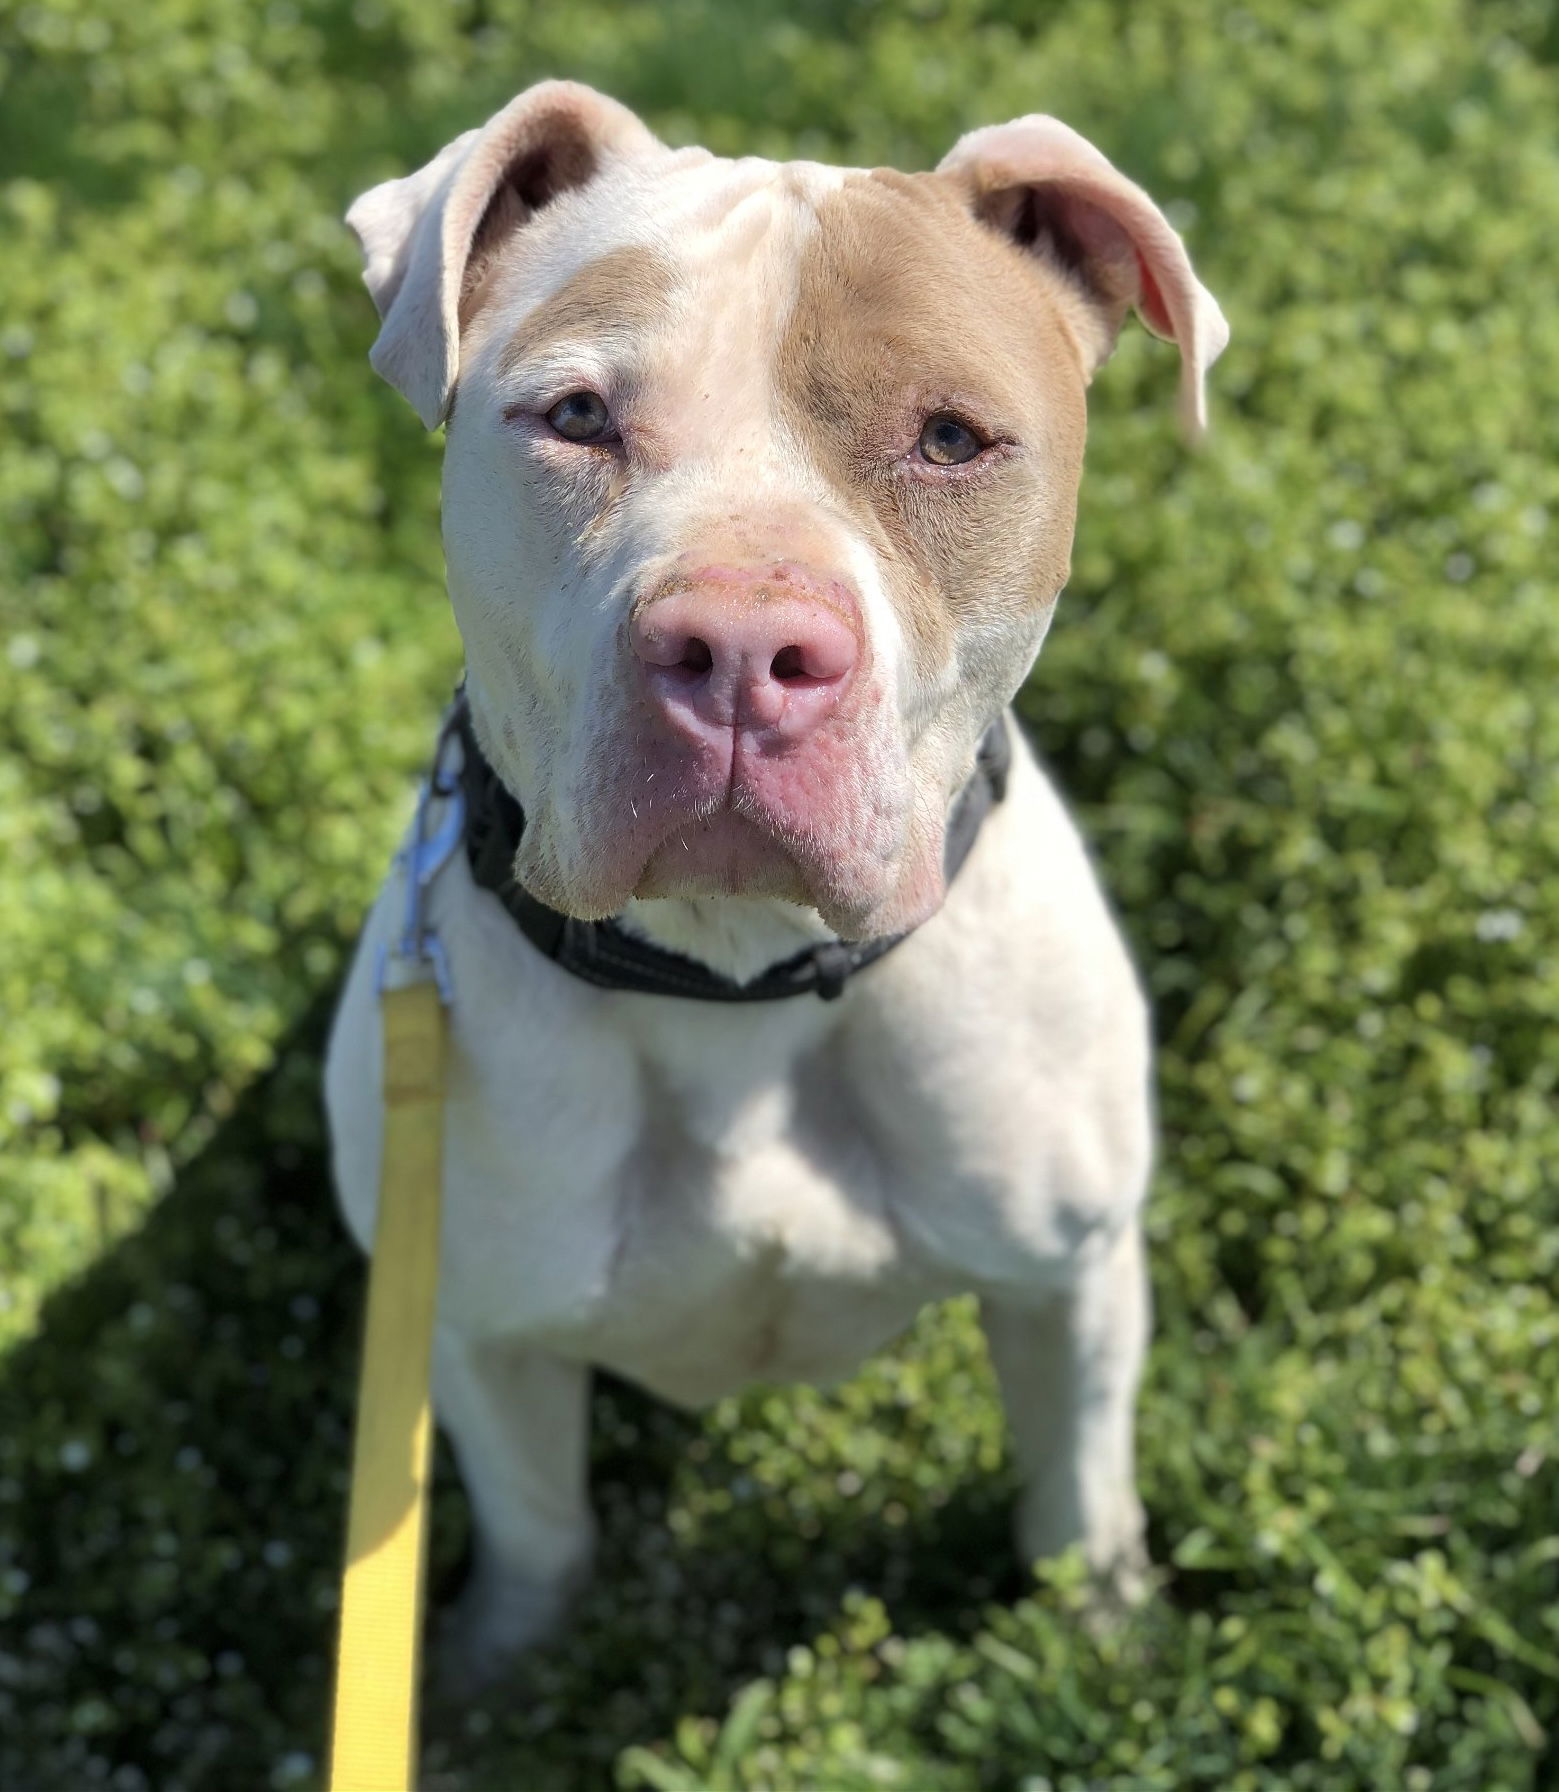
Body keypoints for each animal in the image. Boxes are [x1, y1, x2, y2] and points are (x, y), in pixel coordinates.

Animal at [326, 77, 1232, 1684]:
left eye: (951, 439)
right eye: (576, 416)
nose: (741, 649)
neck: (736, 975)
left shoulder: (1069, 1282)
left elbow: (1076, 1505)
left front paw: (1102, 1648)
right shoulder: (475, 1330)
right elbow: (539, 1527)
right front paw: (501, 1671)